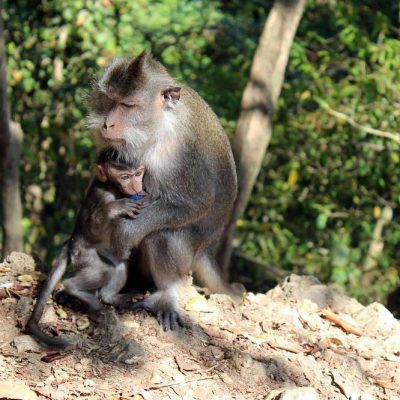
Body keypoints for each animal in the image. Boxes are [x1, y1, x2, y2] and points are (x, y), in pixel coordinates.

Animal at [27, 148, 147, 346]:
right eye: (124, 177)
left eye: (138, 174)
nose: (136, 186)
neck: (112, 187)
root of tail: (71, 240)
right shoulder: (104, 196)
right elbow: (94, 225)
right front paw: (116, 208)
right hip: (83, 254)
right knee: (101, 271)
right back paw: (78, 291)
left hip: (103, 250)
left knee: (118, 264)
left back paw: (109, 297)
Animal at [86, 50, 238, 332]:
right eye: (109, 100)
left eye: (128, 106)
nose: (107, 124)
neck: (158, 127)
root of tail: (208, 247)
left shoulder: (183, 153)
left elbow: (196, 202)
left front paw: (126, 232)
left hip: (190, 250)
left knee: (163, 234)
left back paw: (166, 295)